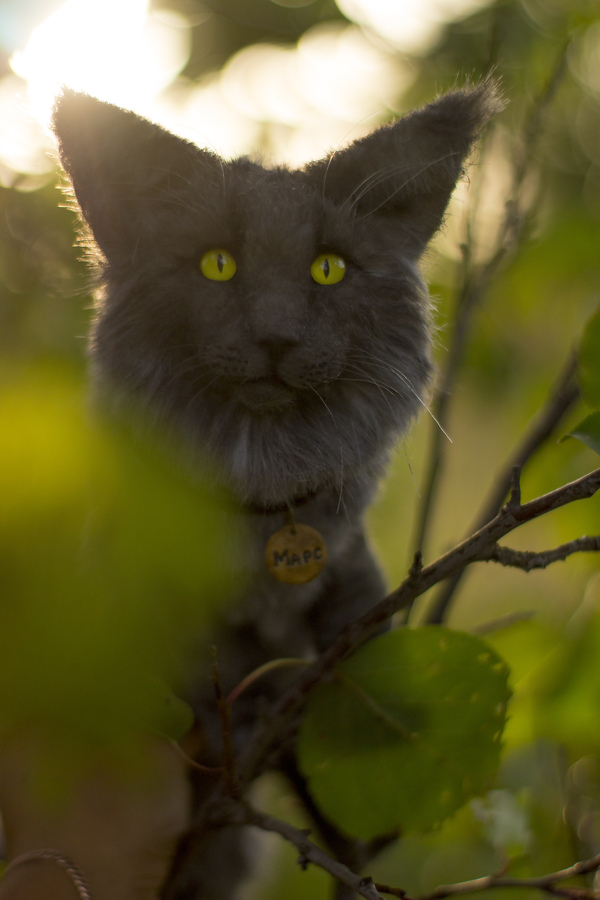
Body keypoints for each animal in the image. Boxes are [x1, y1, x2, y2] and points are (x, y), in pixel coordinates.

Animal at [51, 81, 500, 896]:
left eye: (328, 269)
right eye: (217, 264)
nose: (276, 336)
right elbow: (203, 706)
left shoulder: (352, 620)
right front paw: (249, 713)